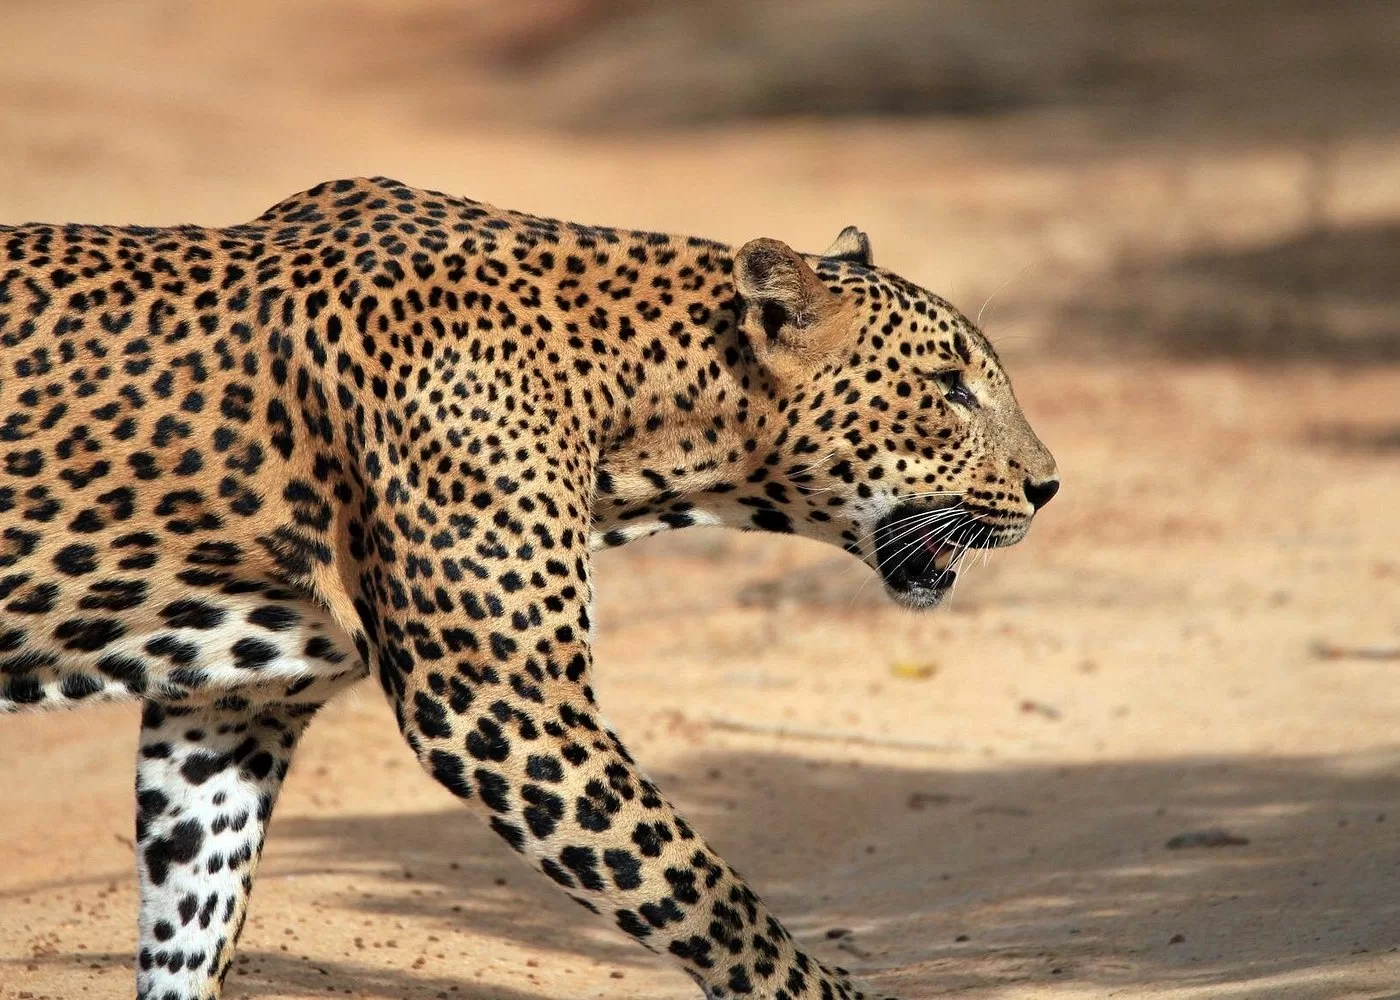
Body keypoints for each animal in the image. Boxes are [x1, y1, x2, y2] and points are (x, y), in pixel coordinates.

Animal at [0, 176, 1058, 1000]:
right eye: (950, 386)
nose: (1050, 486)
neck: (640, 409)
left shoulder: (232, 707)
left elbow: (192, 916)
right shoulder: (502, 701)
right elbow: (704, 892)